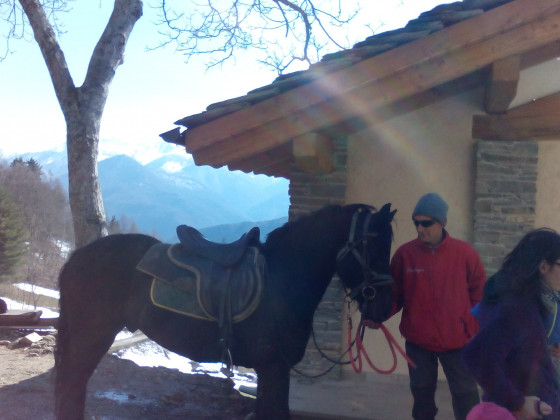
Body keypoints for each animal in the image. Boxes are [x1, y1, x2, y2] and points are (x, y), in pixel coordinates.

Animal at [54, 202, 396, 418]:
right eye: (375, 246)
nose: (385, 307)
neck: (281, 280)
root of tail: (76, 258)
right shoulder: (273, 368)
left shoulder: (272, 370)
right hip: (92, 336)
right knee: (73, 384)